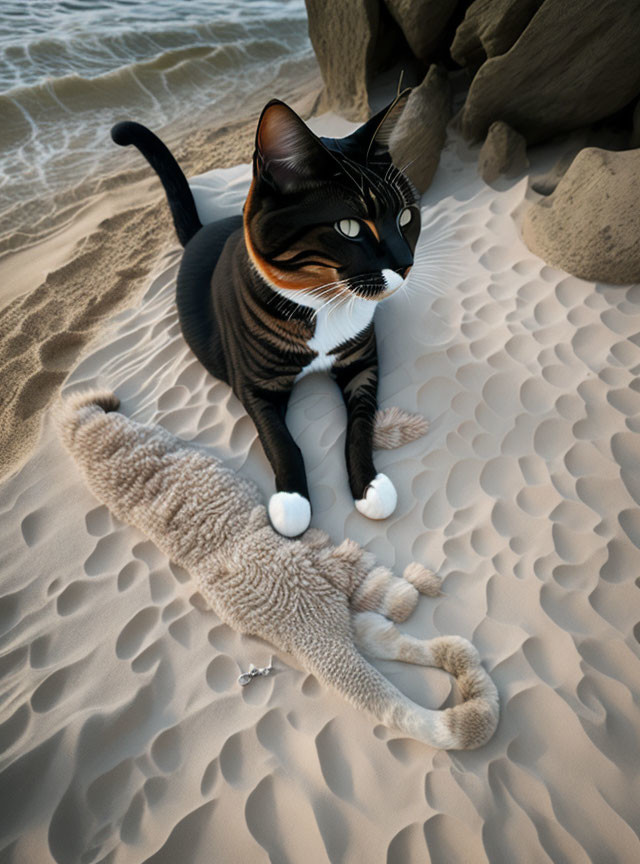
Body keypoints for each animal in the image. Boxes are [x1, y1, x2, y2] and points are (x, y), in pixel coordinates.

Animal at [110, 96, 420, 540]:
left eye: (406, 217)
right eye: (349, 227)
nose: (406, 263)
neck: (323, 304)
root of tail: (202, 230)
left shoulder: (362, 365)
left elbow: (362, 423)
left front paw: (369, 486)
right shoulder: (256, 386)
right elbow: (281, 440)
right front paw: (292, 502)